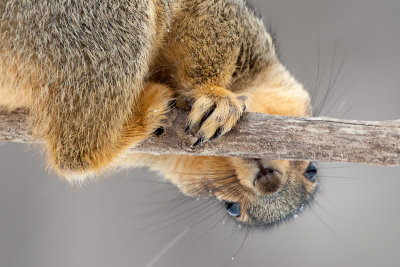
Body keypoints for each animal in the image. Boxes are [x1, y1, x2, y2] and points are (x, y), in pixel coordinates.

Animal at [0, 0, 318, 228]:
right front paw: (216, 98)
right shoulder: (229, 24)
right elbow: (210, 33)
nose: (269, 183)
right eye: (232, 208)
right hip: (95, 25)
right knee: (77, 154)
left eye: (311, 170)